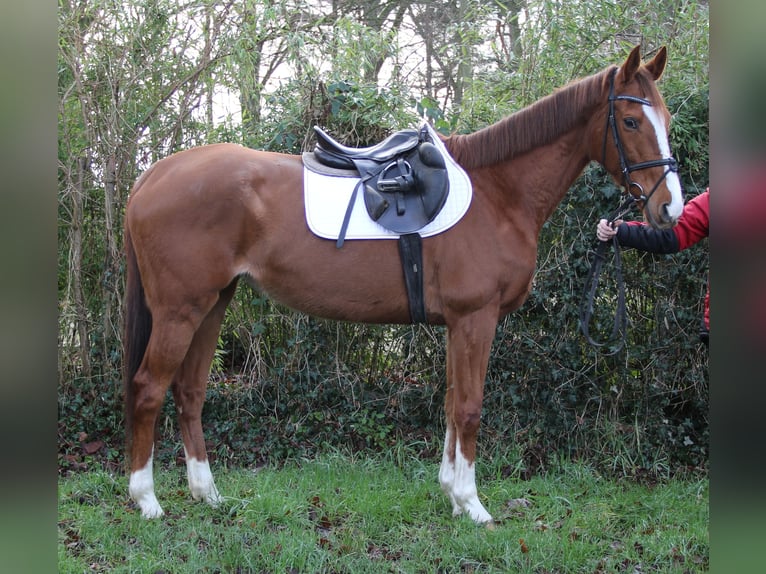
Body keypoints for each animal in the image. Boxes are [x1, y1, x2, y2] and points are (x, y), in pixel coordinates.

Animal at [124, 47, 684, 528]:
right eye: (630, 121)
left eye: (668, 121)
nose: (670, 209)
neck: (499, 193)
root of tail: (153, 175)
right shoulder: (475, 318)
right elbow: (469, 407)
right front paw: (473, 505)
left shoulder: (458, 324)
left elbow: (452, 403)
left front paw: (452, 494)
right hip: (180, 310)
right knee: (149, 389)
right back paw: (146, 501)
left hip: (213, 305)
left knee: (190, 391)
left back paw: (207, 494)